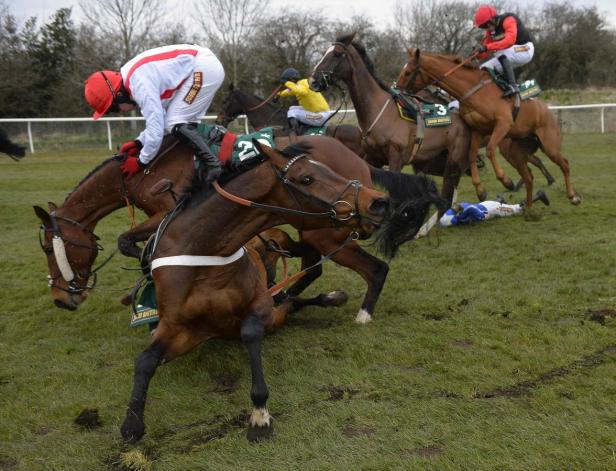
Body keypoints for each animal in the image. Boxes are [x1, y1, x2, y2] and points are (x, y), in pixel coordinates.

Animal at [117, 138, 400, 444]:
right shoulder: (180, 327)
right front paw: (132, 423)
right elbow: (145, 361)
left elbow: (250, 330)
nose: (378, 201)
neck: (203, 254)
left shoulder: (259, 305)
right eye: (307, 178)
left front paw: (260, 414)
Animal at [394, 47, 584, 206]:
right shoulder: (476, 131)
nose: (396, 90)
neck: (471, 92)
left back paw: (572, 196)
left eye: (408, 72)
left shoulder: (503, 124)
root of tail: (545, 109)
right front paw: (480, 191)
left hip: (548, 144)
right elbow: (471, 156)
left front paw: (506, 180)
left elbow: (490, 150)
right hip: (516, 149)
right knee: (530, 167)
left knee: (564, 163)